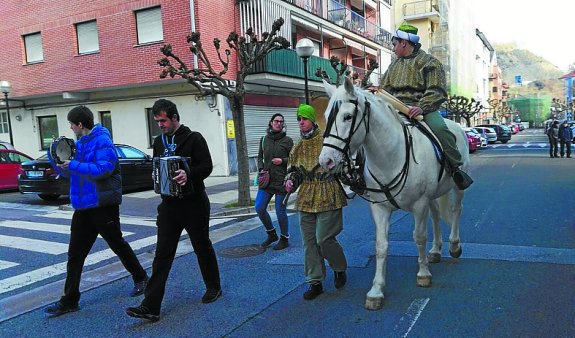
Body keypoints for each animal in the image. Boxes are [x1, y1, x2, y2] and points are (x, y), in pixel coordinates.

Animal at [320, 78, 468, 310]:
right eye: (326, 116)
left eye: (348, 116)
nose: (326, 161)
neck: (391, 157)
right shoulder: (380, 208)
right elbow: (381, 246)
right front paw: (376, 291)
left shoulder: (419, 205)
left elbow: (419, 237)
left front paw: (423, 274)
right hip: (433, 195)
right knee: (436, 215)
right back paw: (436, 251)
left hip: (457, 187)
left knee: (455, 210)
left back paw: (454, 245)